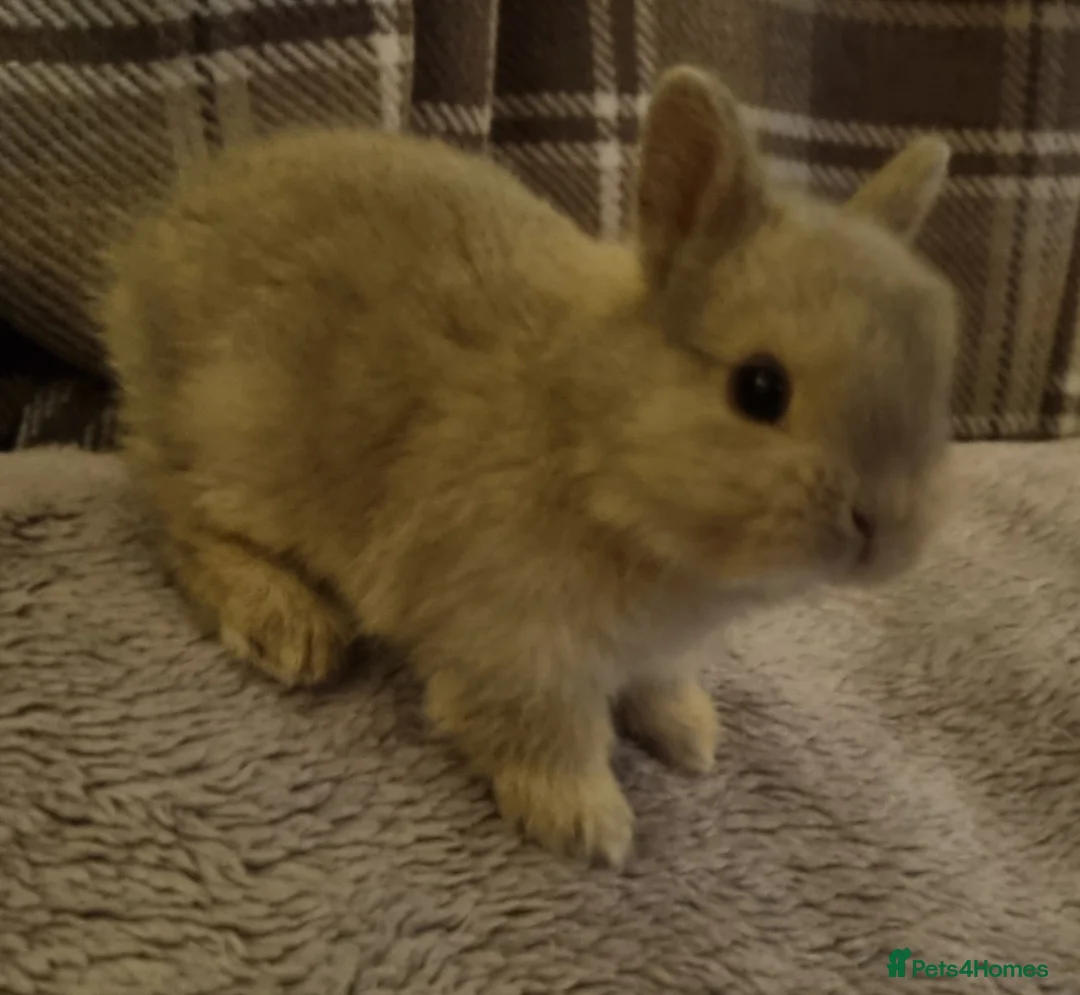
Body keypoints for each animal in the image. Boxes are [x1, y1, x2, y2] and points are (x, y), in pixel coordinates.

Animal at [99, 65, 958, 868]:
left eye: (935, 387)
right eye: (759, 387)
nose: (883, 530)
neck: (588, 437)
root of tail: (144, 256)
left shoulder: (648, 649)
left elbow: (657, 683)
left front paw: (691, 735)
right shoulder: (515, 644)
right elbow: (548, 732)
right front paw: (589, 825)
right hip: (231, 437)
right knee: (172, 519)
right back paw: (288, 628)